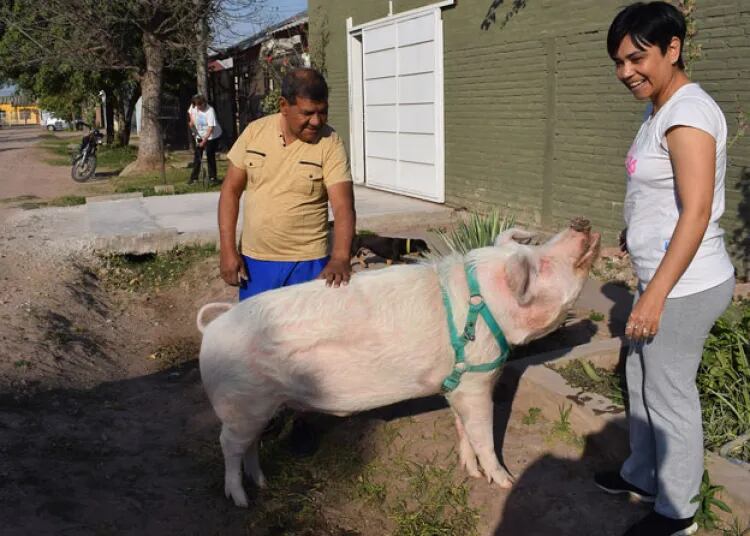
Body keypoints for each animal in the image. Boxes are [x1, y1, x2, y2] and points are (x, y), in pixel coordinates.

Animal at [197, 222, 604, 506]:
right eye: (541, 262)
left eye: (536, 248)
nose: (582, 223)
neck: (485, 305)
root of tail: (212, 328)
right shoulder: (478, 379)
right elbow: (484, 435)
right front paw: (505, 481)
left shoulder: (458, 384)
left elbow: (463, 429)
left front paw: (470, 473)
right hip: (240, 403)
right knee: (228, 445)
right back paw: (241, 500)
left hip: (258, 407)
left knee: (249, 446)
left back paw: (262, 484)